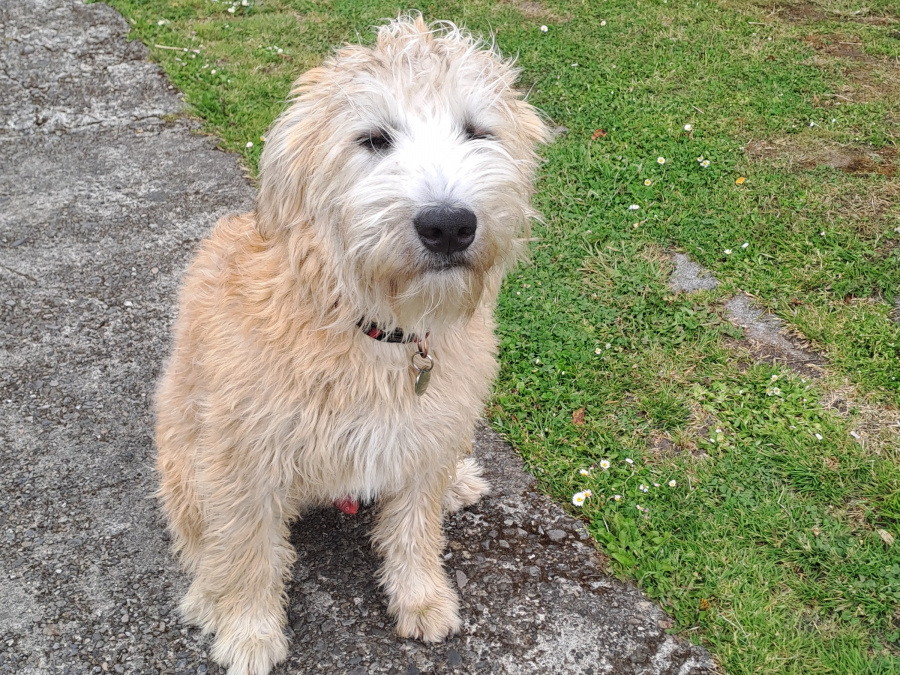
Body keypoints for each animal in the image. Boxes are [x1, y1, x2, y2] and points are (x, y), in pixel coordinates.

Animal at [156, 17, 548, 675]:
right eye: (373, 139)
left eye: (477, 131)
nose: (449, 225)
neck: (374, 327)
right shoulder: (242, 460)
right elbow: (247, 550)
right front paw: (248, 631)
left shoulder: (423, 437)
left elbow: (416, 527)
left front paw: (421, 598)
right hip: (184, 457)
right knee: (200, 539)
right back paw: (207, 593)